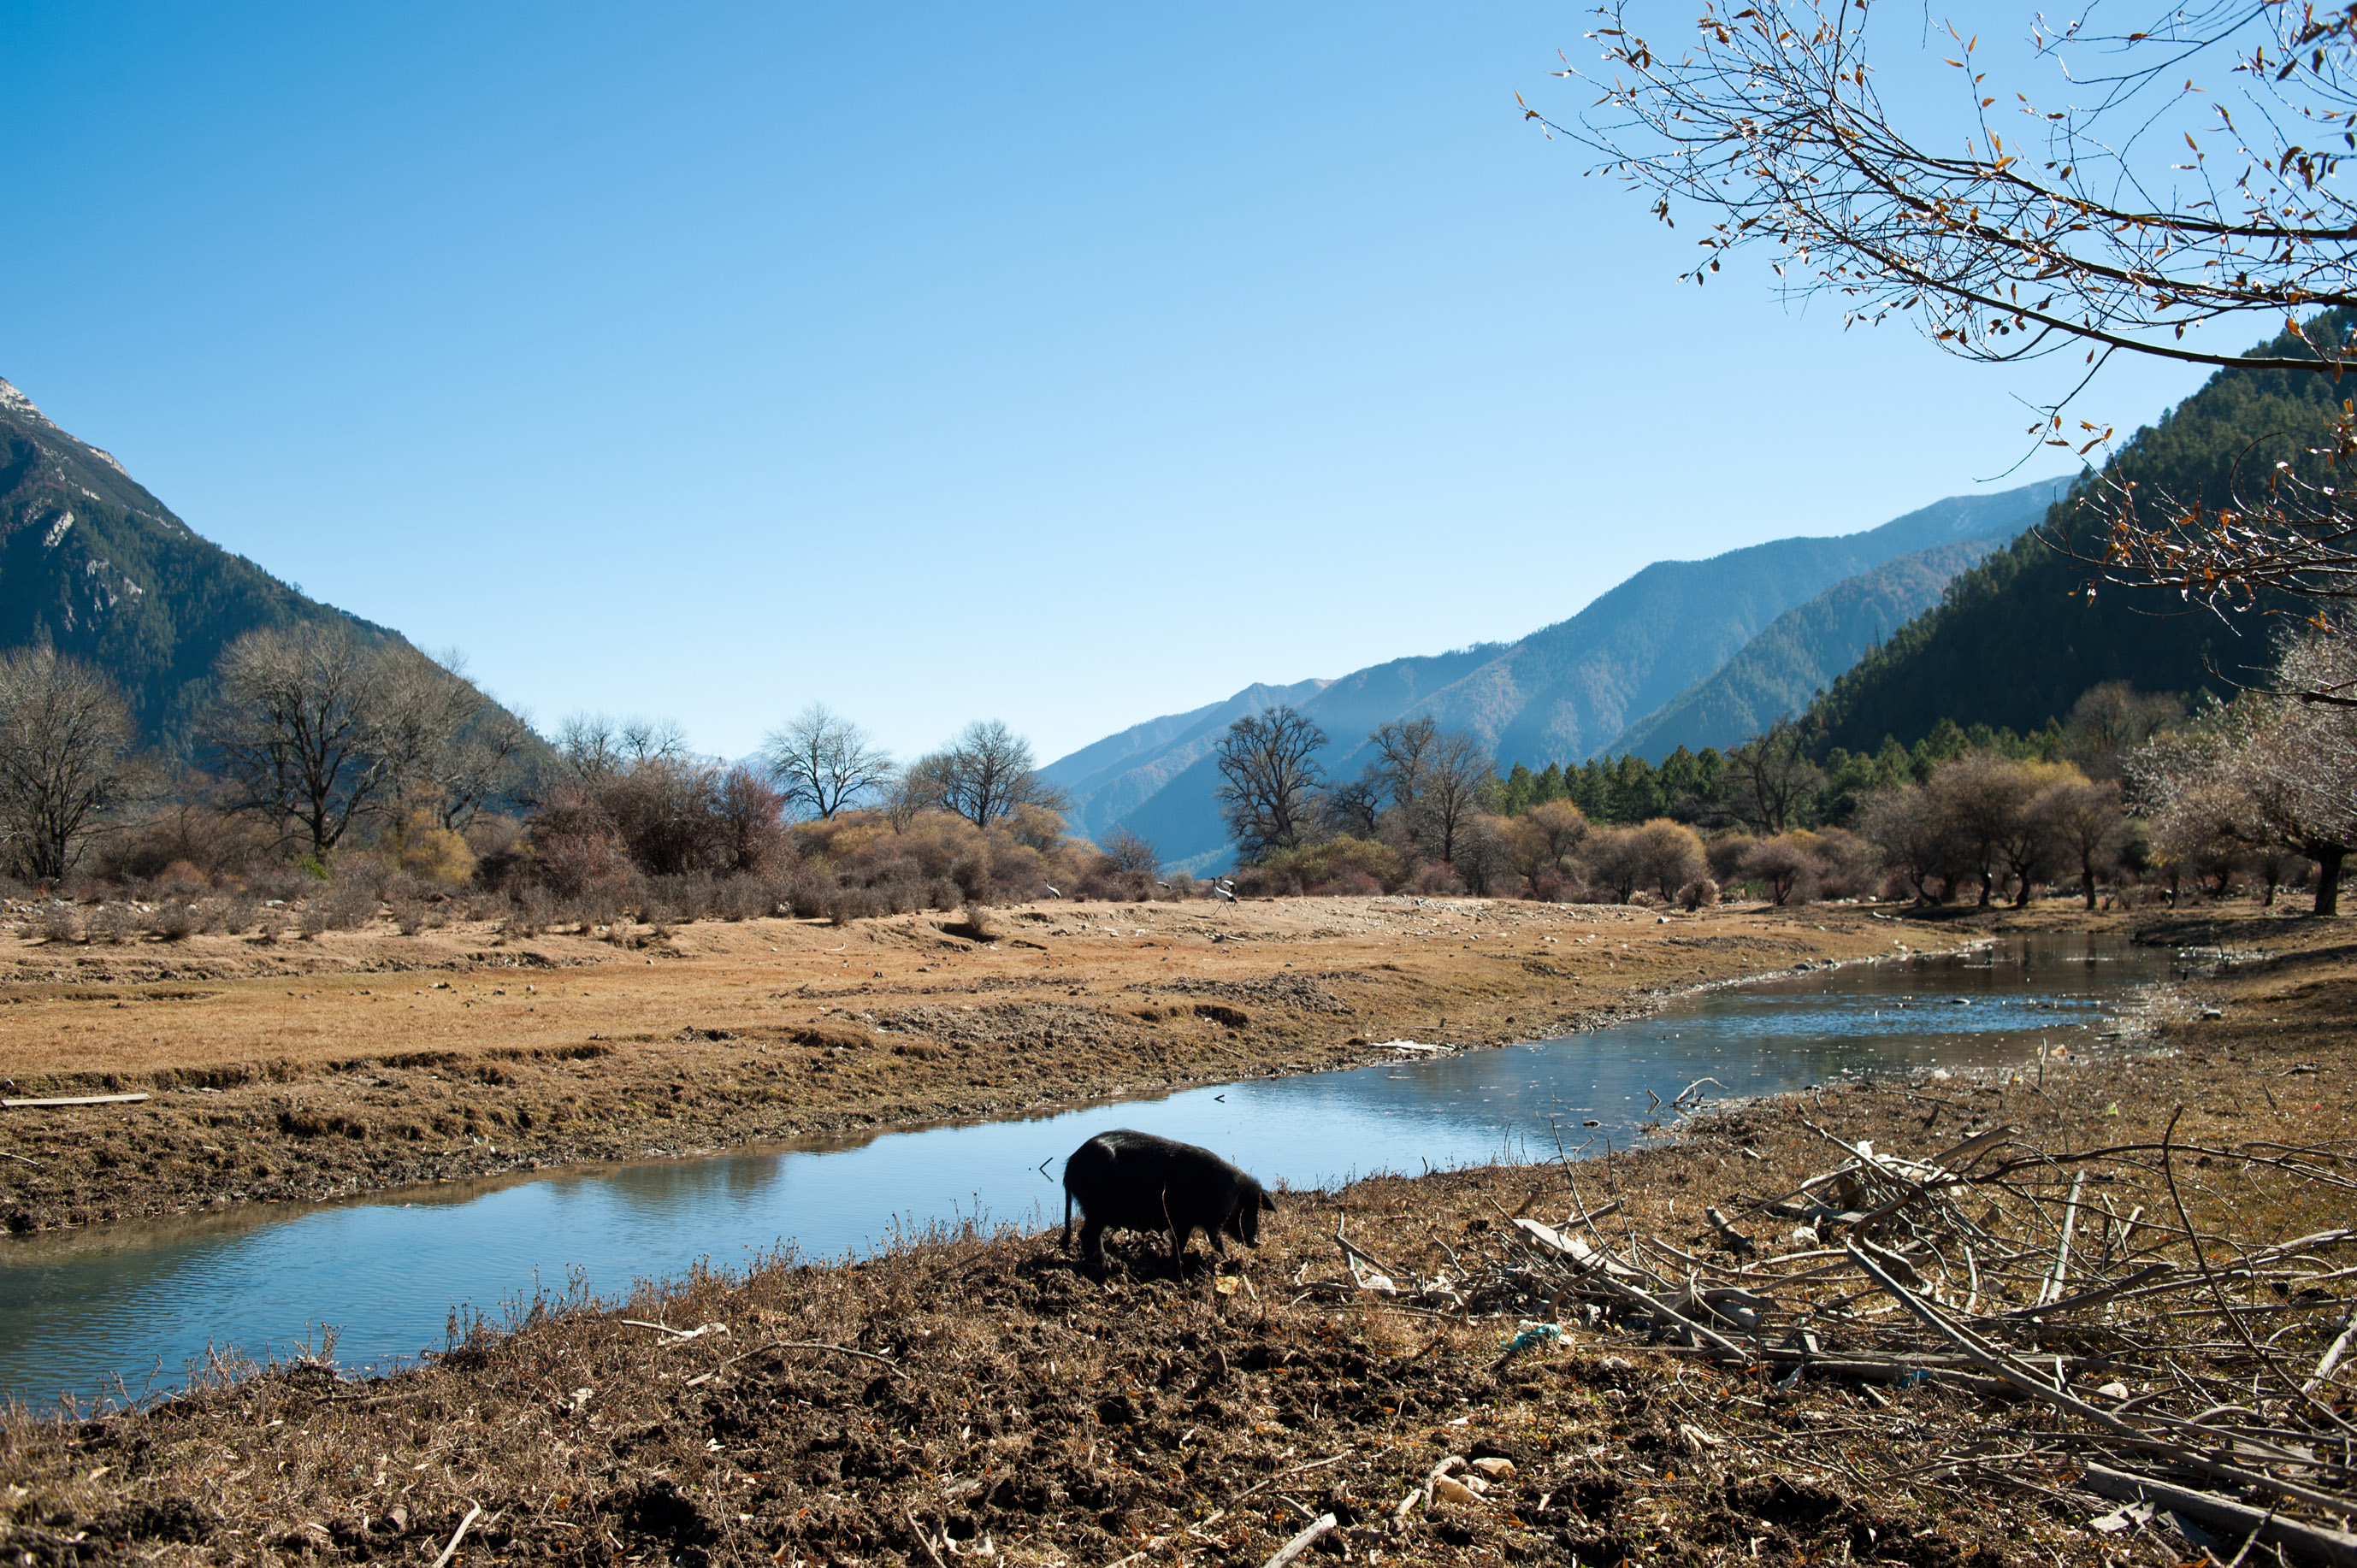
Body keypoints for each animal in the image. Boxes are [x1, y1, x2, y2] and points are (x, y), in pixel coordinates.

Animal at [1060, 1127, 1273, 1273]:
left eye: (1257, 1208)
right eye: (1246, 1209)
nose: (1257, 1241)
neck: (1217, 1189)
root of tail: (1070, 1167)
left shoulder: (1208, 1223)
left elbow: (1215, 1241)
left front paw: (1226, 1259)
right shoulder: (1182, 1220)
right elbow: (1180, 1242)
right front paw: (1179, 1264)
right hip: (1097, 1208)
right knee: (1088, 1234)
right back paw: (1106, 1262)